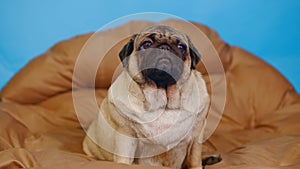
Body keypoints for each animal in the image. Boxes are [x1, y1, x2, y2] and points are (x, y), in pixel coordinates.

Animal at [83, 25, 210, 169]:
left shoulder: (196, 135)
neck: (163, 102)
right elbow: (123, 160)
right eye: (147, 44)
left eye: (181, 46)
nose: (164, 47)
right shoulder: (126, 136)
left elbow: (194, 159)